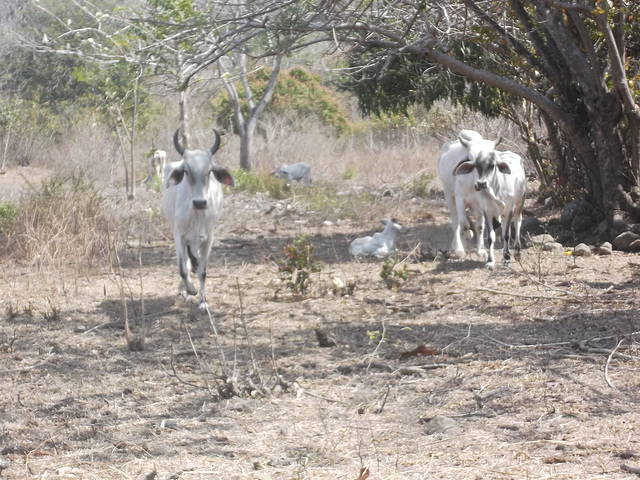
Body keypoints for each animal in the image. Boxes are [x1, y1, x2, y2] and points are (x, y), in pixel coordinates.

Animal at [162, 129, 235, 310]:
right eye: (186, 171)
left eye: (209, 171)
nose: (200, 202)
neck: (197, 214)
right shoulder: (179, 236)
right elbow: (182, 269)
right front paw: (191, 290)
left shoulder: (208, 238)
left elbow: (203, 271)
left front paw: (202, 301)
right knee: (187, 263)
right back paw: (184, 291)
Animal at [438, 129, 528, 268]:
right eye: (471, 160)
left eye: (492, 163)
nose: (480, 184)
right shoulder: (460, 198)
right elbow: (464, 224)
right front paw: (467, 239)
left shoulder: (486, 206)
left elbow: (481, 227)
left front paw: (481, 250)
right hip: (448, 194)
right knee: (455, 220)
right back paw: (459, 248)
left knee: (515, 221)